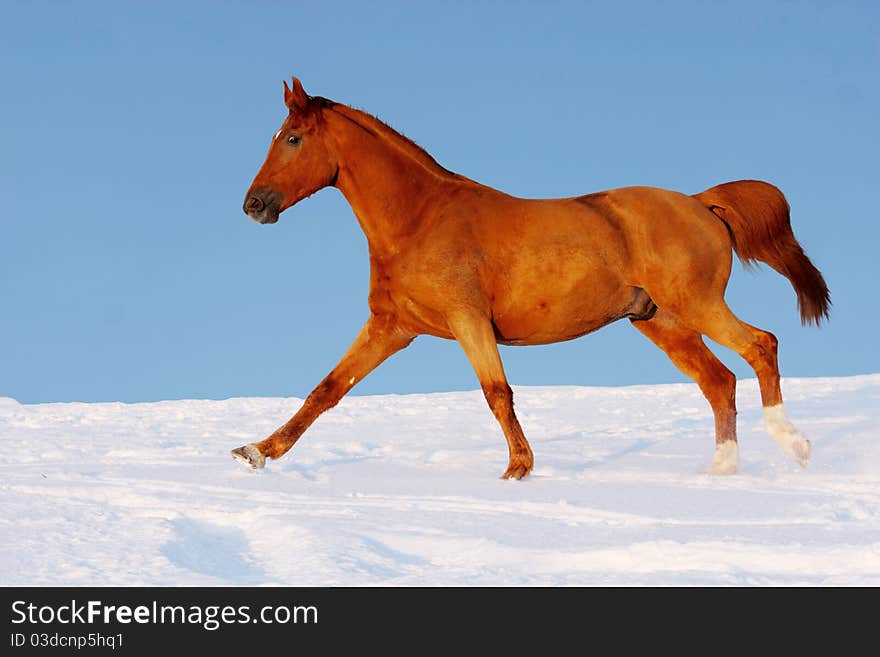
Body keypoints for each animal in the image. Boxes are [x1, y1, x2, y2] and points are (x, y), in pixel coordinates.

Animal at [230, 75, 828, 476]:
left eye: (292, 138)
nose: (254, 205)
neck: (420, 219)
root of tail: (701, 203)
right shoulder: (392, 328)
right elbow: (326, 390)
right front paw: (256, 451)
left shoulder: (468, 320)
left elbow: (497, 391)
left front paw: (518, 468)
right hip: (661, 322)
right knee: (719, 380)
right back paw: (722, 470)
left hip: (698, 305)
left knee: (760, 345)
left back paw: (794, 446)